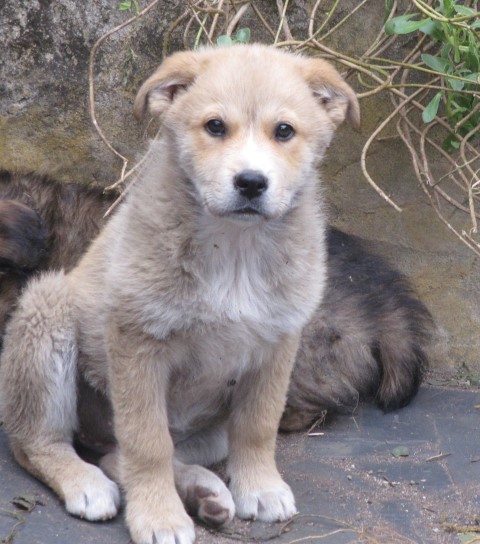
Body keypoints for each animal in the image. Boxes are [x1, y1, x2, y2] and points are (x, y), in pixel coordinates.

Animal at [0, 45, 430, 544]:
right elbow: (147, 444)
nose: (251, 183)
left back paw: (204, 492)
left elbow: (258, 427)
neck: (235, 250)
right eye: (214, 127)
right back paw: (88, 483)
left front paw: (260, 488)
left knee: (123, 455)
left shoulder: (277, 346)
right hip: (47, 309)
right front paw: (159, 517)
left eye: (285, 131)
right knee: (41, 442)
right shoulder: (138, 343)